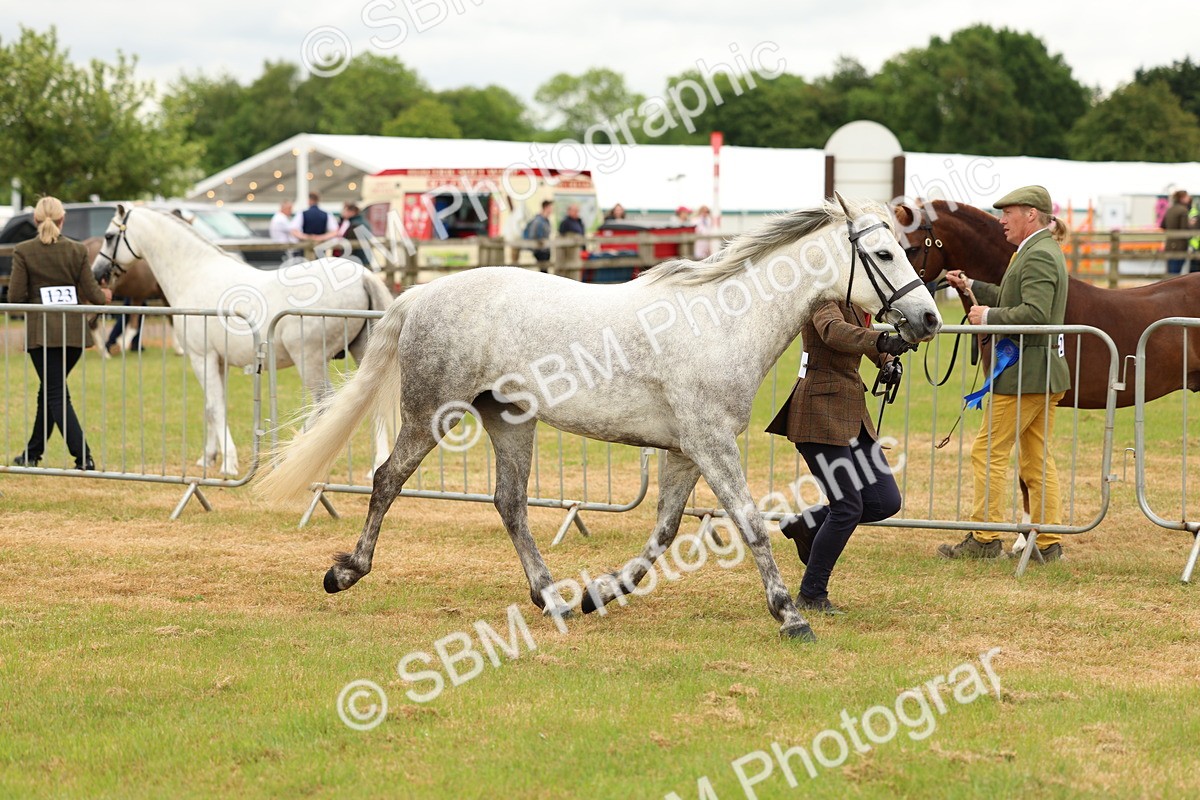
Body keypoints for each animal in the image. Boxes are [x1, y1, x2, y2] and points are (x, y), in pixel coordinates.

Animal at [93, 206, 395, 476]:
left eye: (109, 235)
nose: (98, 273)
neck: (195, 273)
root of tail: (364, 277)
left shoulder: (201, 357)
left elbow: (215, 407)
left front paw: (228, 463)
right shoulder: (220, 361)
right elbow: (212, 406)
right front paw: (208, 457)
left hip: (308, 359)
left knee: (327, 404)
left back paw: (290, 451)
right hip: (362, 352)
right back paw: (374, 465)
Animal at [255, 195, 943, 640]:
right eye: (884, 254)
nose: (929, 320)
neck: (723, 320)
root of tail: (422, 293)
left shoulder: (685, 450)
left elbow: (664, 532)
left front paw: (600, 593)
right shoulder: (711, 443)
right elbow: (749, 524)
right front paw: (790, 615)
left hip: (510, 419)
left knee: (509, 504)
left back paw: (553, 600)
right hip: (432, 414)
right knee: (387, 480)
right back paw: (346, 572)